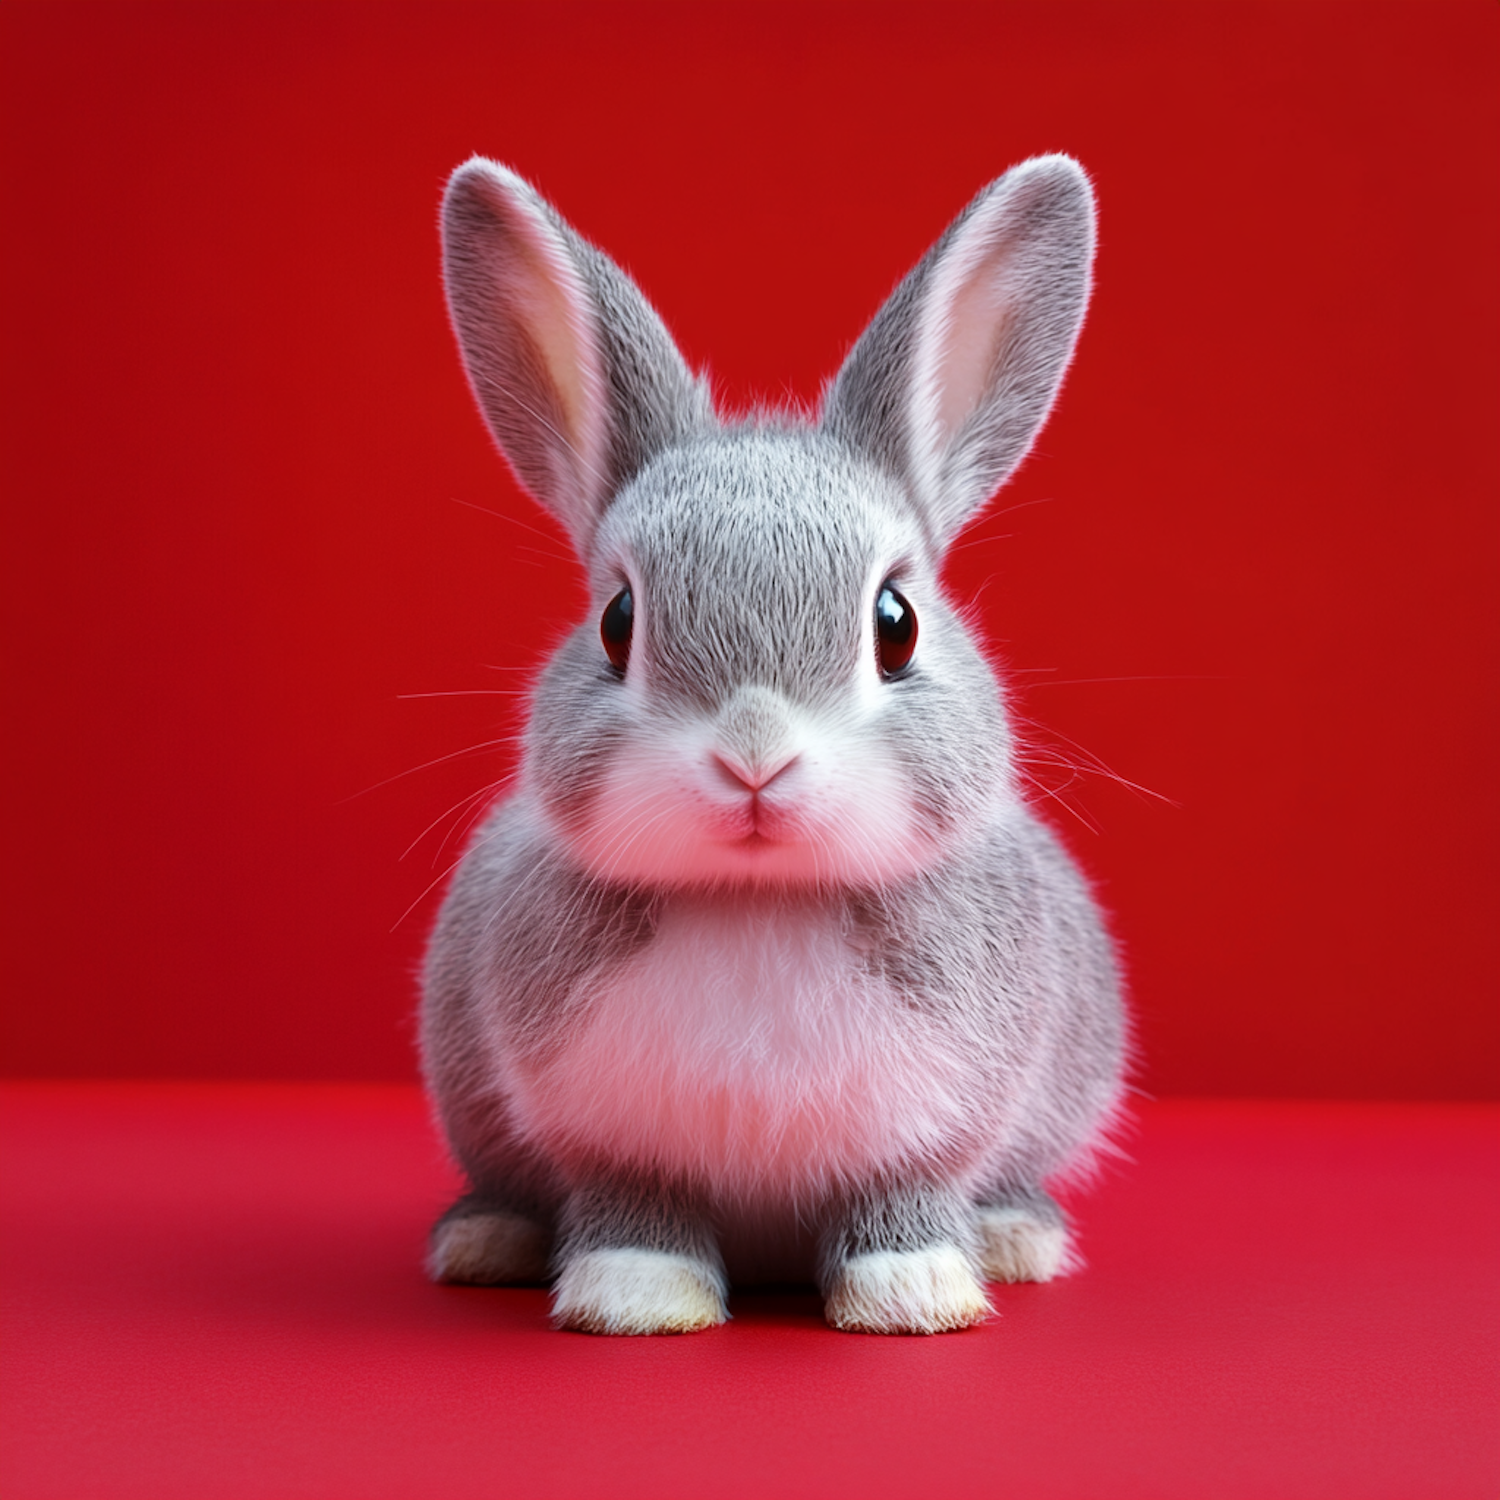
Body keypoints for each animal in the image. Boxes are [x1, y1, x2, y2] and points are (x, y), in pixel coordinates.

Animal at [423, 158, 1128, 1338]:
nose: (755, 758)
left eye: (896, 623)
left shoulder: (929, 1134)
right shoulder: (613, 1148)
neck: (759, 899)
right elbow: (635, 1214)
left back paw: (1014, 1238)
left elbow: (904, 1202)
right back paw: (488, 1242)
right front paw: (635, 1300)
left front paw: (916, 1294)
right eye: (618, 622)